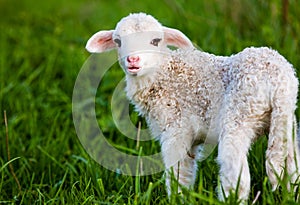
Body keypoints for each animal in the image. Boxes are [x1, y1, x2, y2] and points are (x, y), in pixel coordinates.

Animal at [85, 13, 300, 202]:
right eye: (118, 42)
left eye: (155, 41)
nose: (133, 60)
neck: (162, 74)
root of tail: (280, 81)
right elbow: (187, 170)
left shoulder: (176, 128)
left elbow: (178, 173)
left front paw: (176, 199)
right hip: (285, 121)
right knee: (291, 166)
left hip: (240, 115)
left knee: (236, 172)